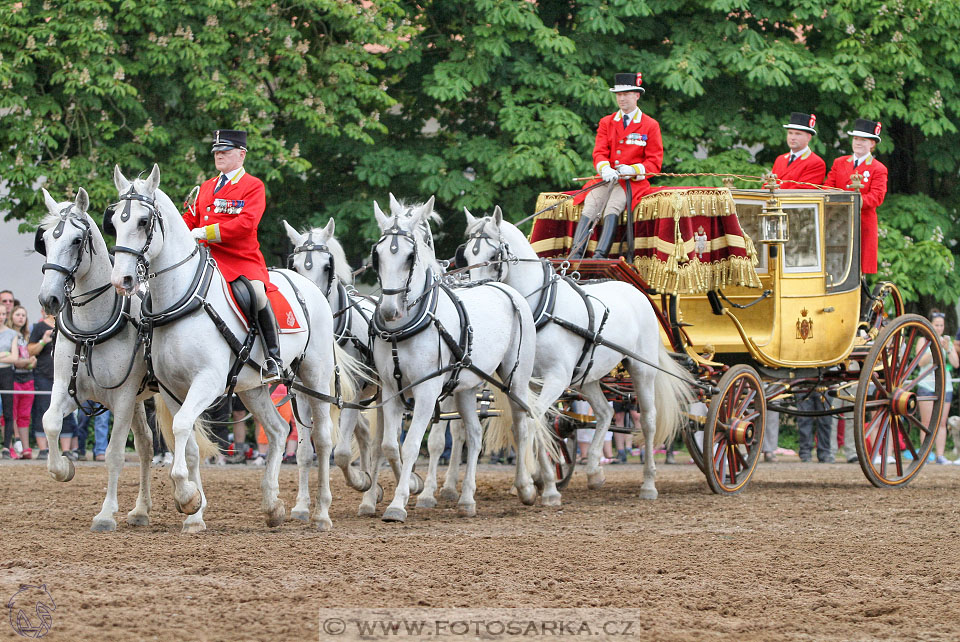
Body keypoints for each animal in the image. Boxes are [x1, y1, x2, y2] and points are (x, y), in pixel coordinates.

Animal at [106, 164, 360, 528]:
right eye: (114, 221)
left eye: (143, 221)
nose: (122, 280)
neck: (183, 298)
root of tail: (308, 287)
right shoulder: (171, 389)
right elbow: (190, 442)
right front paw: (193, 509)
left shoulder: (208, 382)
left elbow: (182, 426)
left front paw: (186, 495)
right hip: (253, 387)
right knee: (279, 430)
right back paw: (272, 505)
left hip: (315, 377)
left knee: (322, 439)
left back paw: (322, 513)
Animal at [374, 195, 560, 520]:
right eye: (378, 254)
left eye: (410, 256)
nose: (389, 310)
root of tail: (507, 289)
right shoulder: (391, 388)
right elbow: (390, 446)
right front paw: (413, 487)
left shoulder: (427, 391)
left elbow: (412, 445)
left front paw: (398, 504)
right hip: (467, 385)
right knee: (473, 434)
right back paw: (467, 499)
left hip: (517, 377)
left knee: (522, 424)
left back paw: (527, 487)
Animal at [462, 208, 692, 498]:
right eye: (466, 254)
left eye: (493, 256)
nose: (476, 294)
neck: (542, 307)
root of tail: (638, 293)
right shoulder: (527, 381)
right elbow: (533, 424)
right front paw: (538, 478)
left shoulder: (557, 378)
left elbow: (535, 421)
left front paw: (546, 484)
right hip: (588, 376)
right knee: (605, 413)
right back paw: (594, 472)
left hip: (642, 369)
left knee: (649, 420)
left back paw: (649, 484)